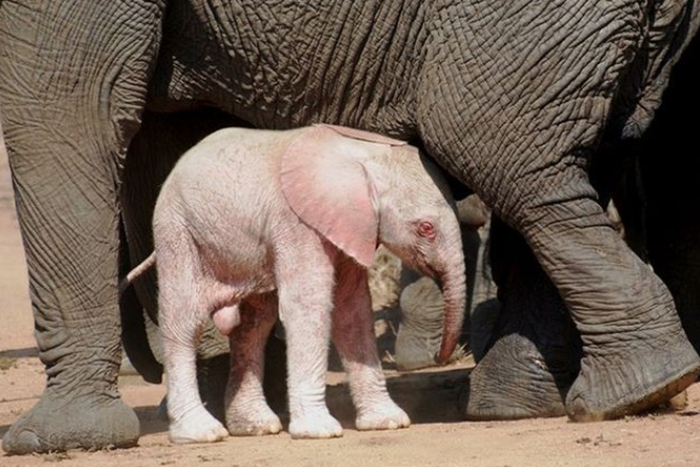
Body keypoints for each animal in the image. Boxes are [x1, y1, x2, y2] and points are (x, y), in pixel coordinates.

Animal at [127, 123, 465, 443]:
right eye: (426, 228)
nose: (439, 358)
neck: (364, 155)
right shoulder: (298, 225)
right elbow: (308, 307)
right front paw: (320, 431)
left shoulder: (351, 227)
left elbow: (351, 310)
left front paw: (388, 422)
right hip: (177, 230)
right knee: (184, 321)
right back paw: (201, 432)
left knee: (253, 324)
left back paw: (255, 426)